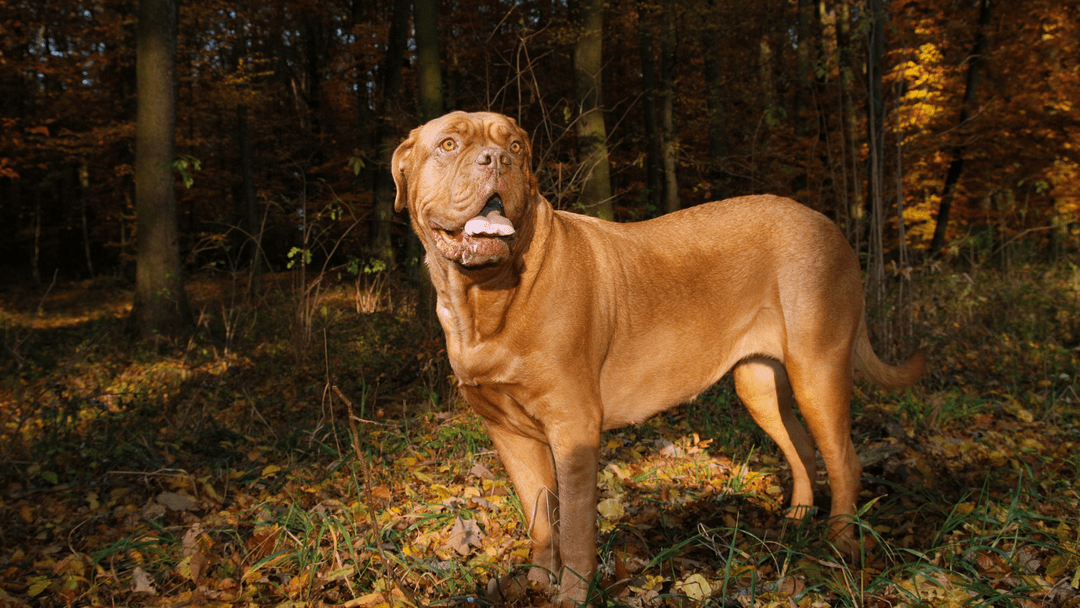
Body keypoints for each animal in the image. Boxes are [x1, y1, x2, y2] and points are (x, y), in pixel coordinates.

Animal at [393, 110, 924, 604]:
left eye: (517, 147)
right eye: (448, 144)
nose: (498, 160)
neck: (486, 298)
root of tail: (833, 228)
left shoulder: (573, 427)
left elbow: (577, 527)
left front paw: (573, 594)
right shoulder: (508, 433)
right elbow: (541, 518)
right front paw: (539, 583)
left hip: (818, 370)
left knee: (845, 461)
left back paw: (839, 548)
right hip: (759, 384)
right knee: (802, 447)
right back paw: (796, 520)